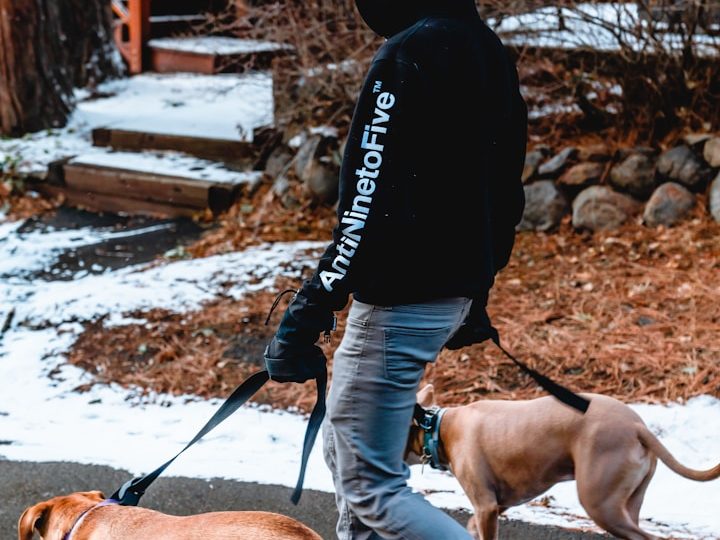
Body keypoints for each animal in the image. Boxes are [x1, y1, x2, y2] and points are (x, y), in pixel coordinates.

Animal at [406, 384, 720, 540]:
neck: (439, 427)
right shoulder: (501, 501)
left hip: (600, 503)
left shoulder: (486, 505)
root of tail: (636, 426)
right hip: (628, 503)